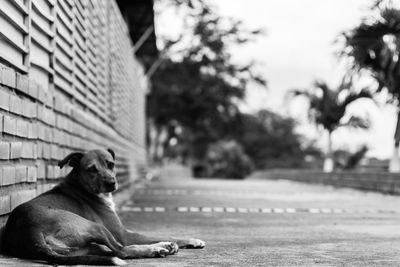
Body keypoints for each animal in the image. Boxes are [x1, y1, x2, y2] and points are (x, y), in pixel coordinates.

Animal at [0, 149, 205, 266]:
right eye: (91, 169)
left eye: (111, 164)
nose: (111, 183)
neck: (82, 186)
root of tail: (28, 232)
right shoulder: (123, 233)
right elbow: (160, 235)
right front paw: (188, 239)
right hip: (94, 226)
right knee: (121, 251)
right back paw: (156, 249)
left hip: (80, 248)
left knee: (110, 250)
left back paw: (161, 247)